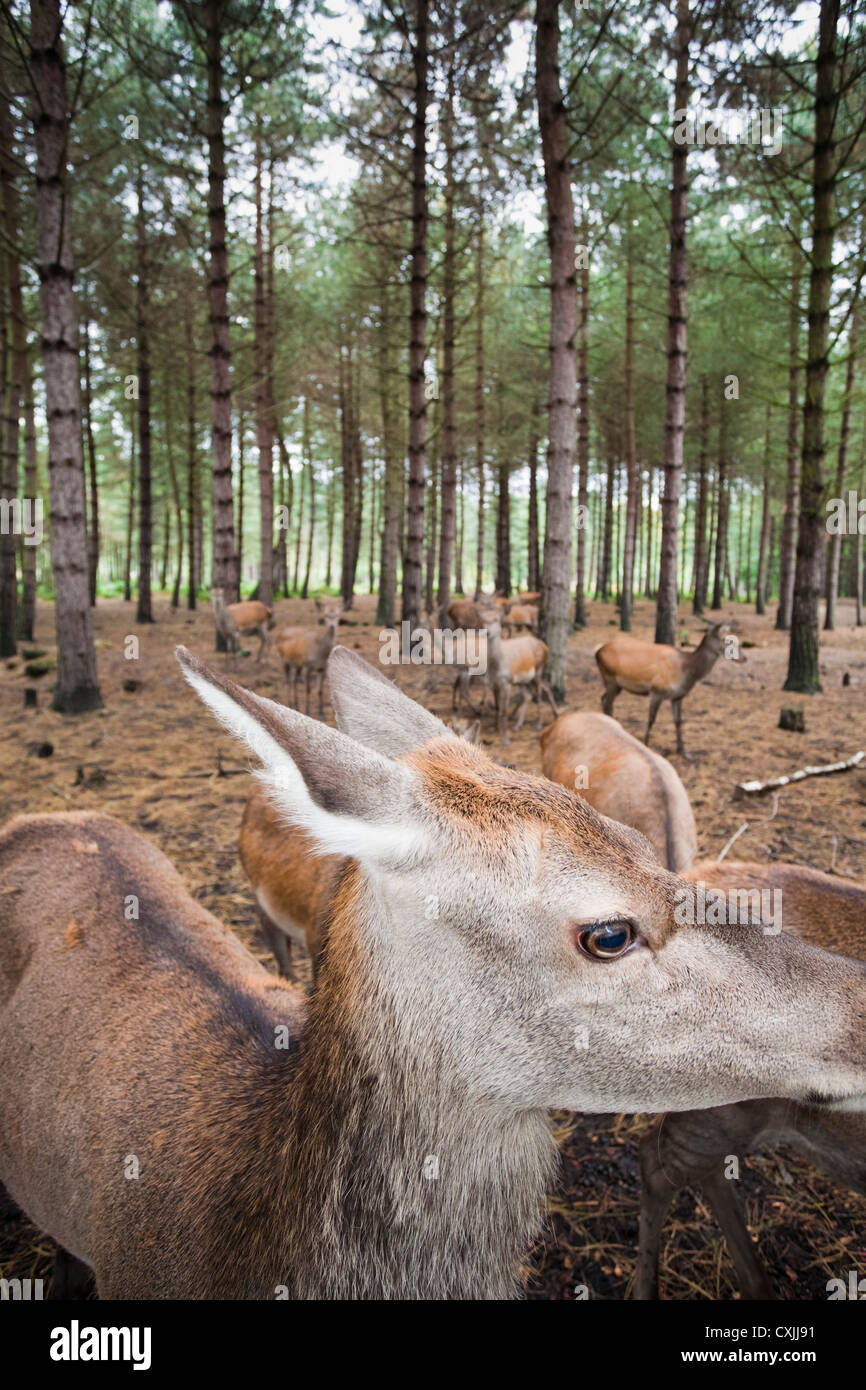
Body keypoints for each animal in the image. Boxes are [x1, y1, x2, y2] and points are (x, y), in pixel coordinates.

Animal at [594, 625, 739, 761]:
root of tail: (598, 651)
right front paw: (646, 744)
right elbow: (651, 719)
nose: (742, 657)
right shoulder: (656, 690)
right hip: (610, 678)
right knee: (608, 703)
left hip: (617, 685)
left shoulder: (677, 696)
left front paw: (683, 752)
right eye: (725, 640)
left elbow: (678, 721)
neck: (686, 672)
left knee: (603, 698)